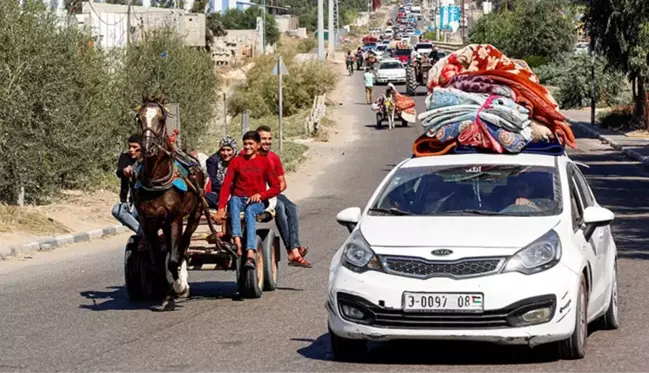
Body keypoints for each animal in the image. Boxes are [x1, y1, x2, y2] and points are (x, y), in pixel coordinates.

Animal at [134, 91, 208, 310]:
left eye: (160, 118)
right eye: (139, 118)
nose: (148, 148)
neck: (156, 181)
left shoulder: (176, 218)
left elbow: (173, 260)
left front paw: (179, 287)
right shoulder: (148, 222)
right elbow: (158, 261)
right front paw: (165, 293)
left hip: (194, 215)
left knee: (183, 246)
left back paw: (181, 281)